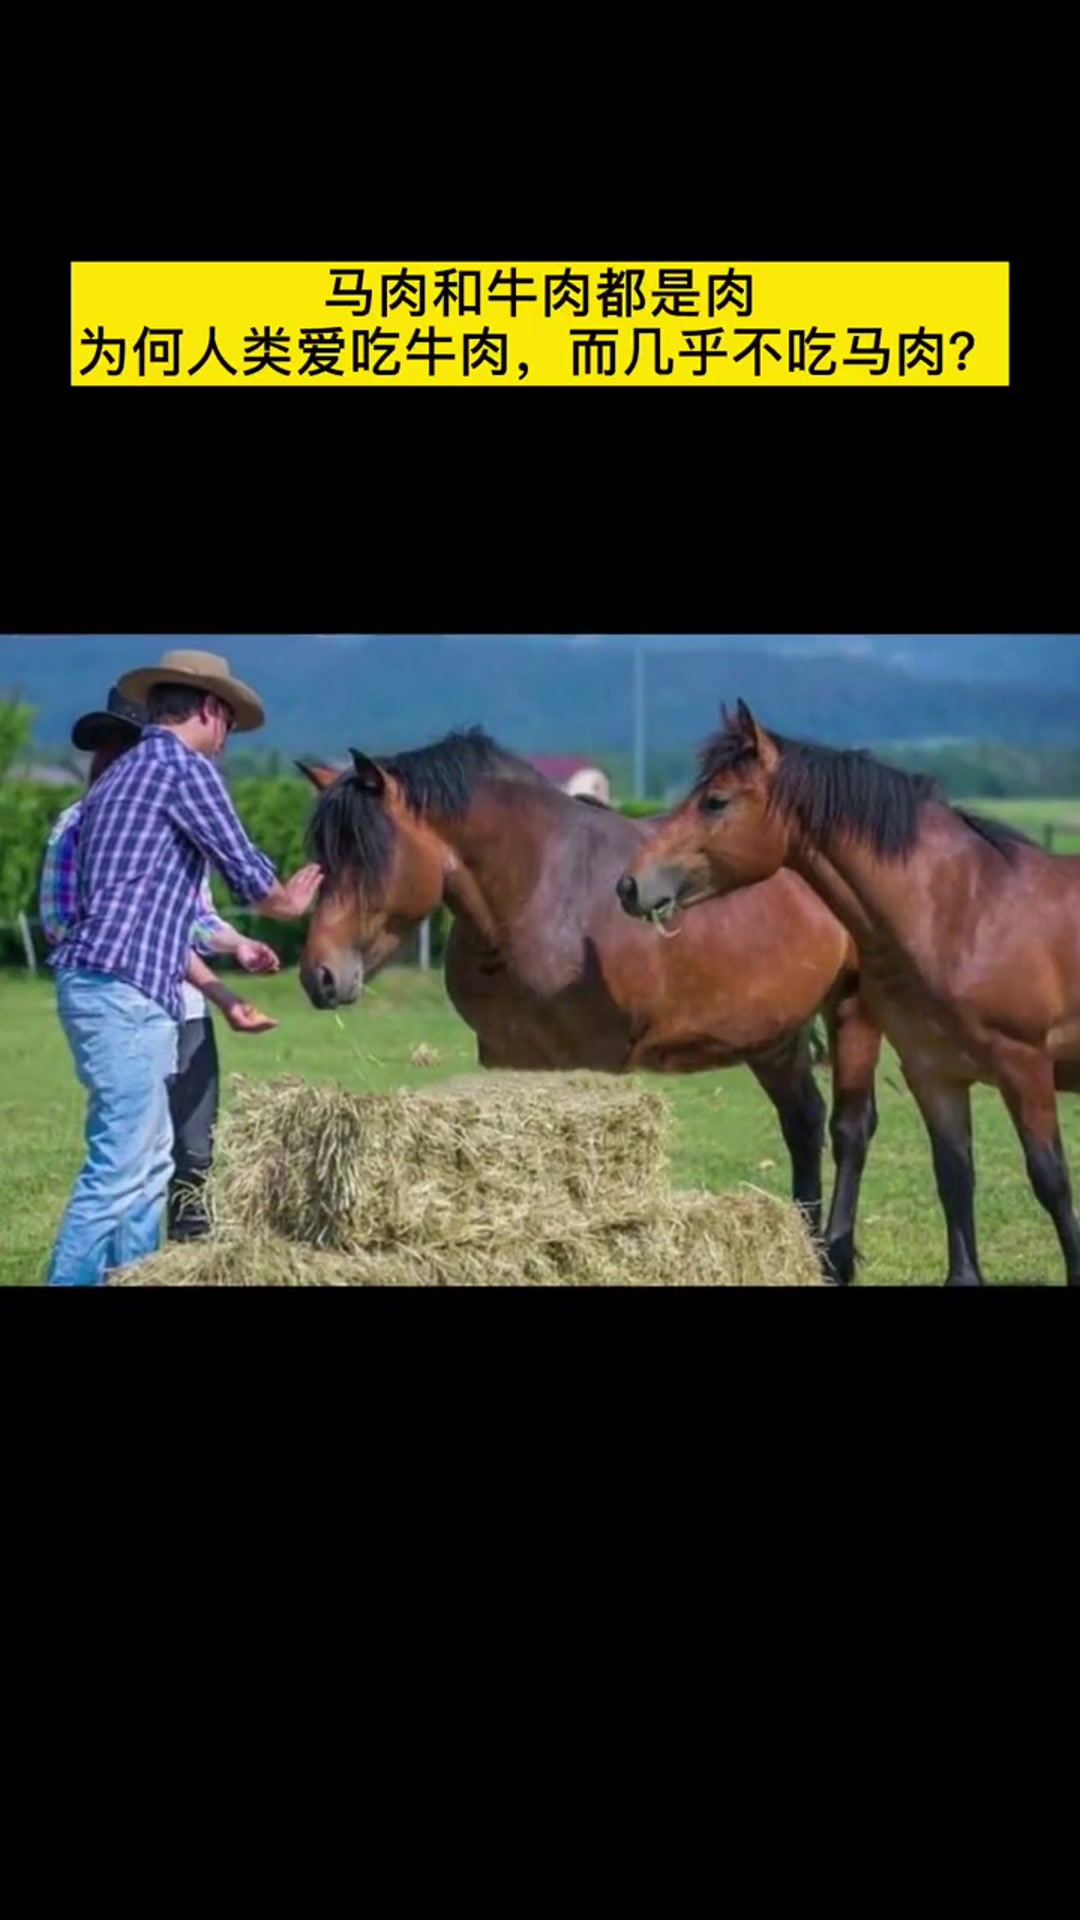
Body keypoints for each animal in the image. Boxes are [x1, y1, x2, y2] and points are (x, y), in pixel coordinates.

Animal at [294, 727, 883, 1283]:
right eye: (322, 858)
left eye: (370, 853)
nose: (319, 975)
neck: (540, 893)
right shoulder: (506, 1053)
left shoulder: (595, 1057)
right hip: (772, 1036)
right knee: (803, 1123)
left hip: (854, 1010)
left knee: (849, 1130)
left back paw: (835, 1259)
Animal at [615, 697, 1080, 1287]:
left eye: (716, 801)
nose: (630, 885)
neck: (970, 912)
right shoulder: (934, 1073)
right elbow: (954, 1175)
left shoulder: (1026, 1067)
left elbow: (1051, 1179)